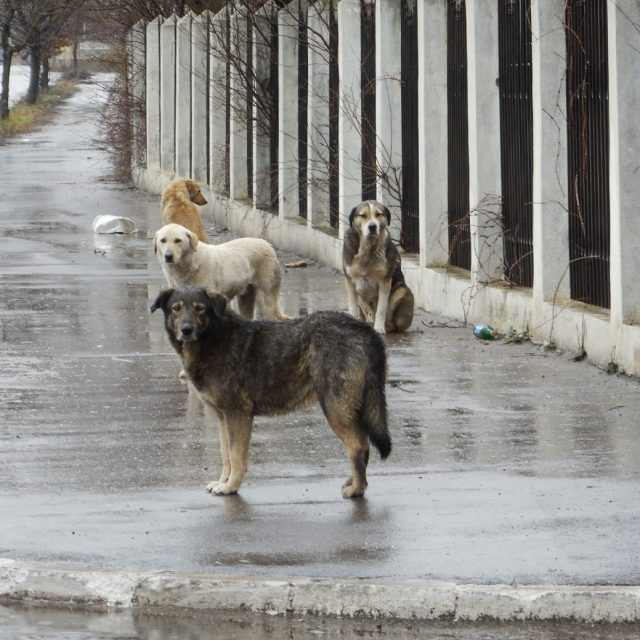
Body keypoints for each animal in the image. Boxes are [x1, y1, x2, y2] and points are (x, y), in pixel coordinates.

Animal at [152, 224, 288, 320]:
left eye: (178, 240)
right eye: (163, 240)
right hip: (245, 298)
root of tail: (266, 243)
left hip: (266, 298)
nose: (168, 256)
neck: (190, 264)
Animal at [340, 201, 416, 336]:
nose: (372, 227)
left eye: (379, 214)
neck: (368, 249)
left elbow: (381, 309)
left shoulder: (384, 282)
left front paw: (379, 328)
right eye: (363, 215)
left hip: (402, 291)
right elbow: (353, 307)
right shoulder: (349, 280)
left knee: (393, 324)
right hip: (362, 298)